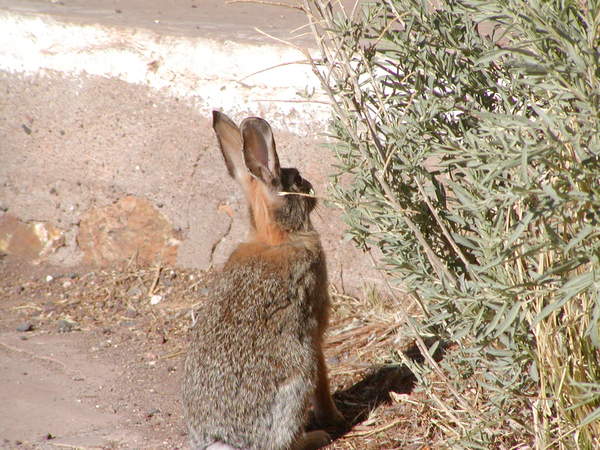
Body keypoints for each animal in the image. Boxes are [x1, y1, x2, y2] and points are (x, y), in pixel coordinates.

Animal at [182, 111, 345, 450]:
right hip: (296, 379)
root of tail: (223, 441)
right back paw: (316, 436)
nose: (312, 188)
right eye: (297, 179)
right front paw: (334, 418)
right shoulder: (315, 330)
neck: (276, 237)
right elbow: (323, 376)